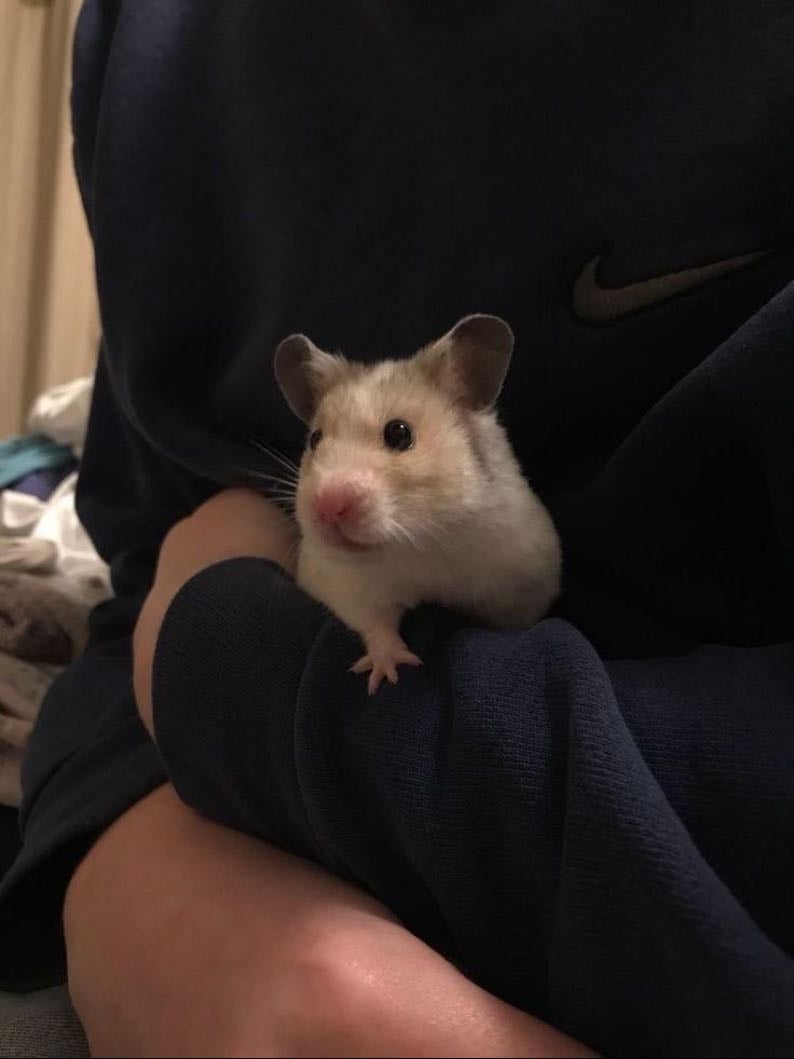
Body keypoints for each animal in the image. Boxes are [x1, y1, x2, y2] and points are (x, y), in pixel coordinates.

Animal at [274, 314, 561, 693]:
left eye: (399, 433)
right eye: (315, 439)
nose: (327, 505)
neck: (423, 541)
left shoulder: (522, 587)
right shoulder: (346, 584)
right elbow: (376, 624)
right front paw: (387, 674)